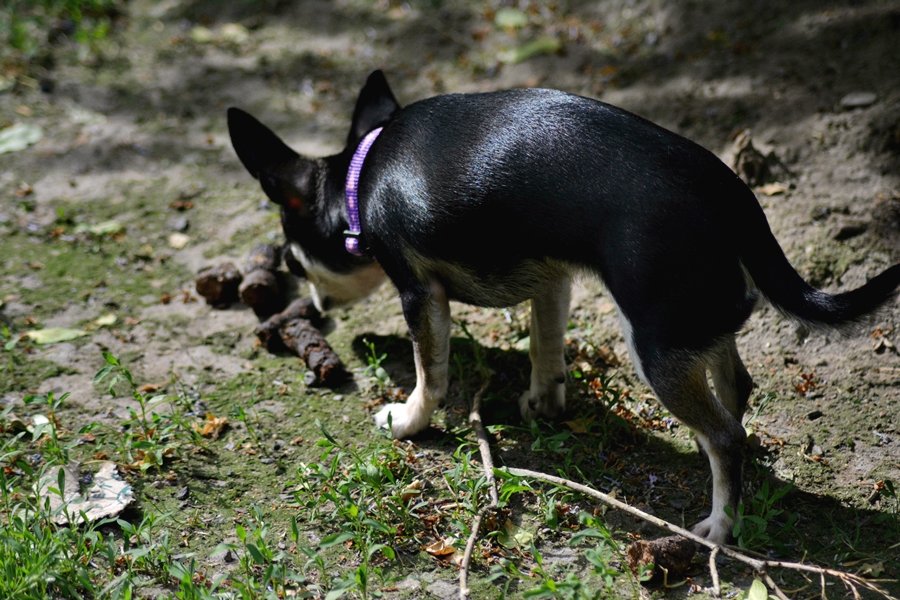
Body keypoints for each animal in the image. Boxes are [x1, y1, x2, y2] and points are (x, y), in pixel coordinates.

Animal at [229, 69, 896, 544]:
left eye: (293, 264)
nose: (314, 305)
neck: (362, 174)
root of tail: (729, 188)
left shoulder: (421, 294)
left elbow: (430, 373)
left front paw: (410, 420)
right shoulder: (551, 278)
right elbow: (545, 342)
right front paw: (544, 403)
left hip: (657, 344)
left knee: (722, 436)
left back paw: (721, 527)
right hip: (694, 326)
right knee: (735, 393)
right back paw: (744, 479)